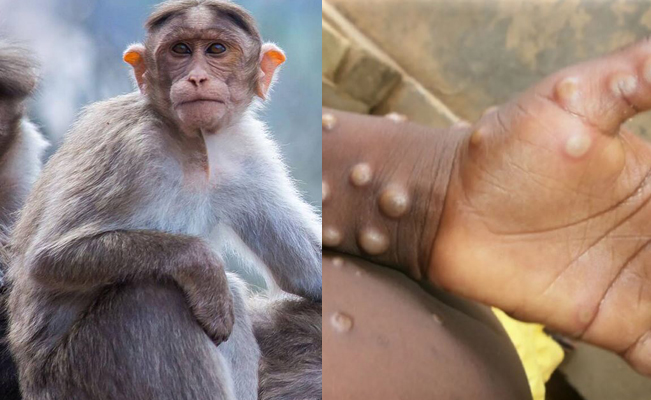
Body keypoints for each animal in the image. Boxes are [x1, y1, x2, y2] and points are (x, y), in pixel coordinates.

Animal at [5, 1, 322, 399]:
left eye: (217, 50)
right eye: (180, 50)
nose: (197, 78)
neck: (190, 143)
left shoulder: (245, 150)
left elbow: (305, 270)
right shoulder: (128, 147)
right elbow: (48, 259)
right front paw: (202, 264)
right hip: (78, 376)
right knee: (154, 294)